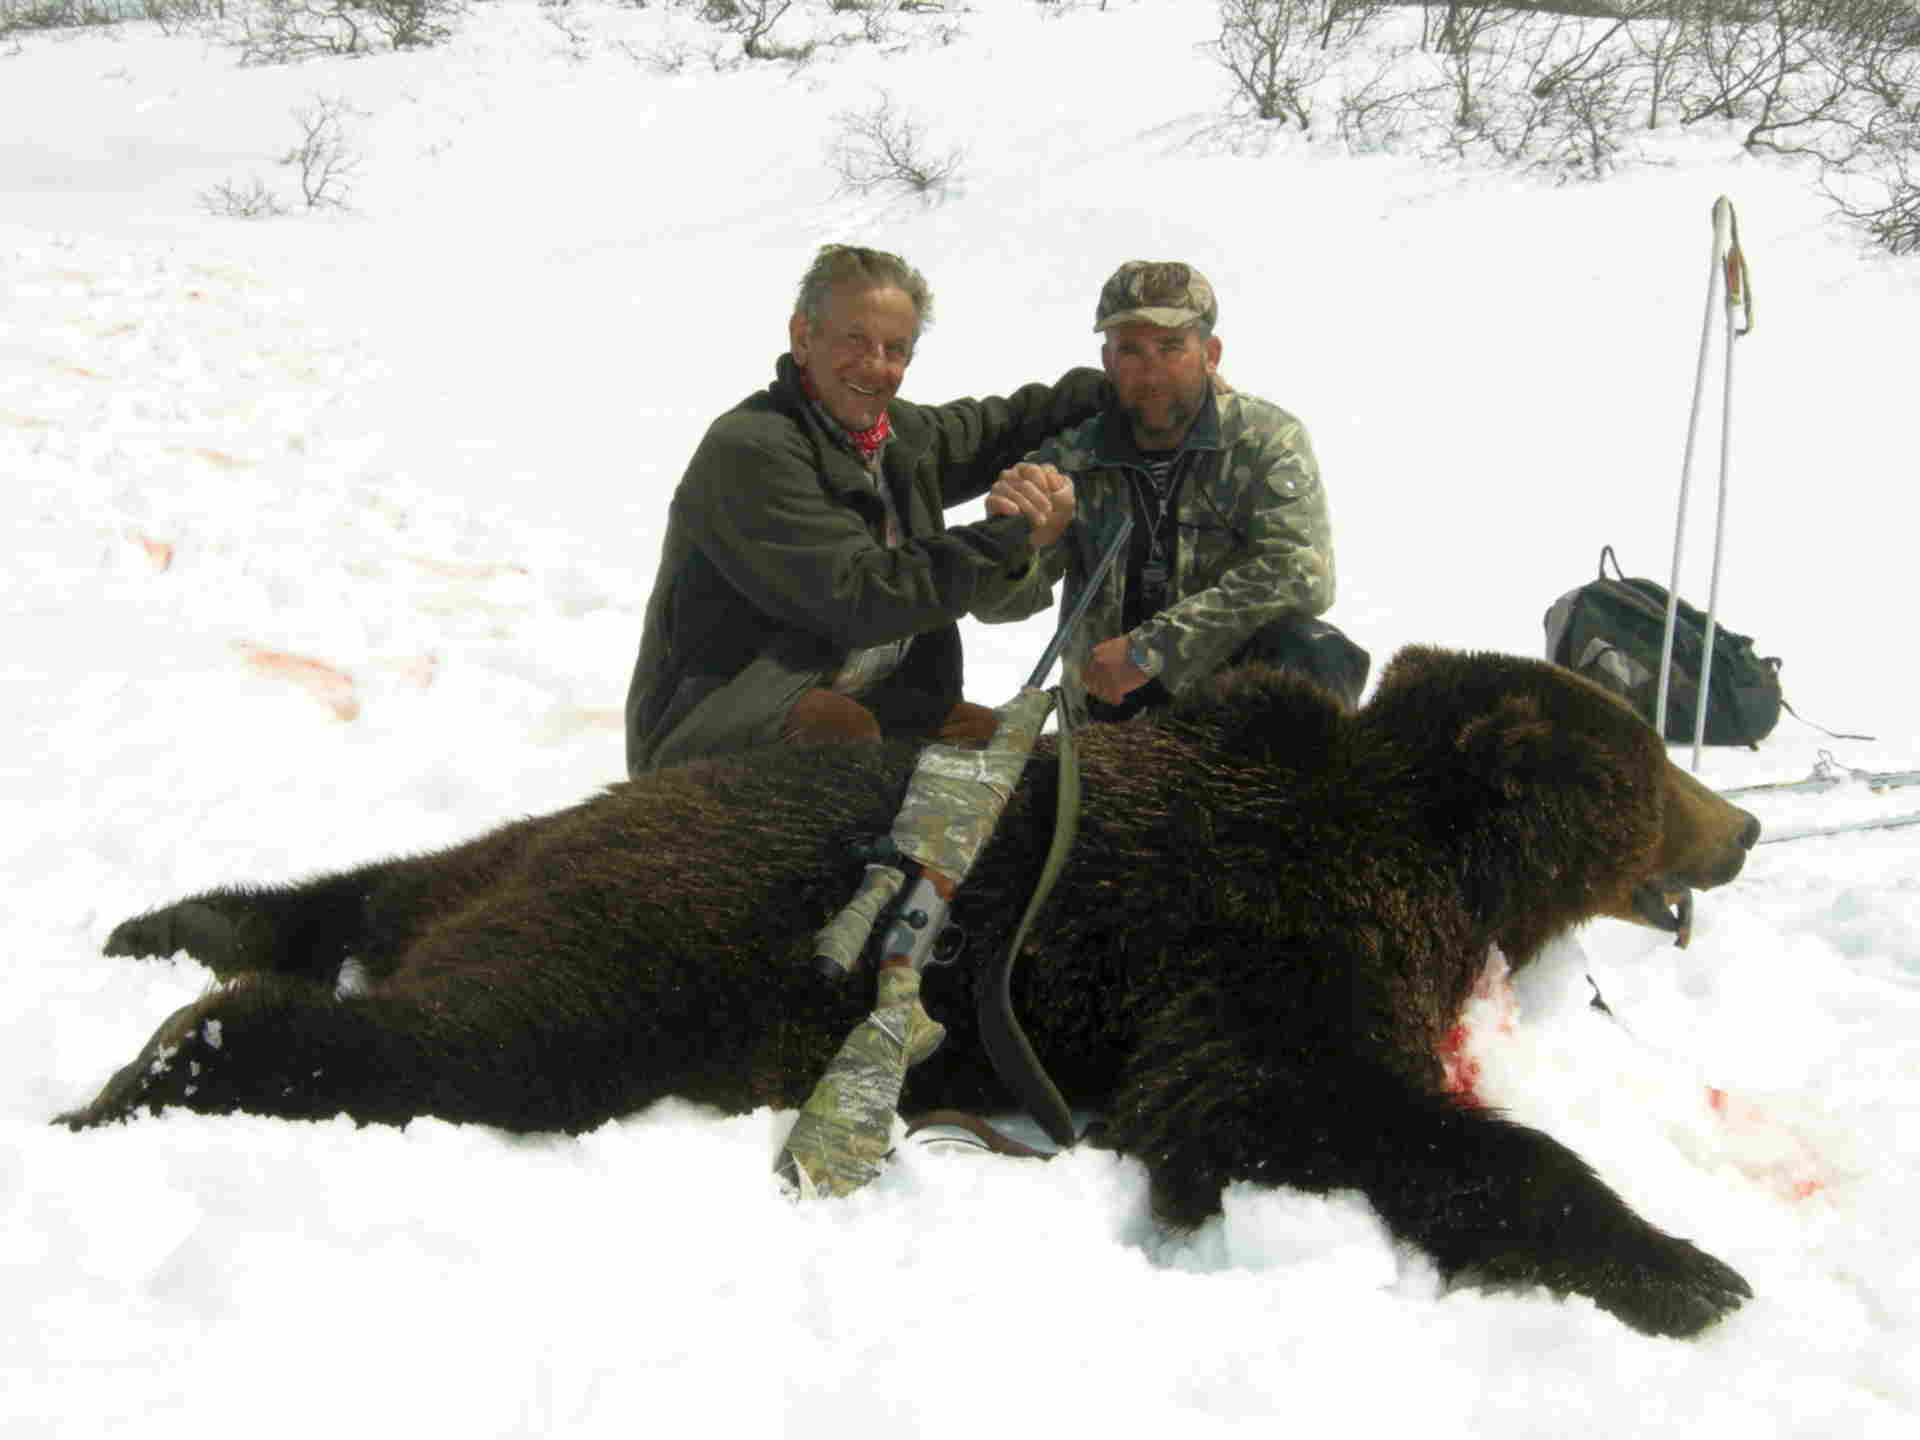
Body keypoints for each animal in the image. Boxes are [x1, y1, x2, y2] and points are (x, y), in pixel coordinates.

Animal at [52, 648, 1758, 1336]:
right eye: (1650, 768)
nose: (1740, 826)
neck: (1423, 849)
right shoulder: (1253, 937)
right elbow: (1287, 1102)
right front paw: (1685, 1268)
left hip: (525, 858)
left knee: (367, 886)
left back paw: (171, 927)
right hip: (653, 958)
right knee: (462, 1044)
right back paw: (146, 1074)